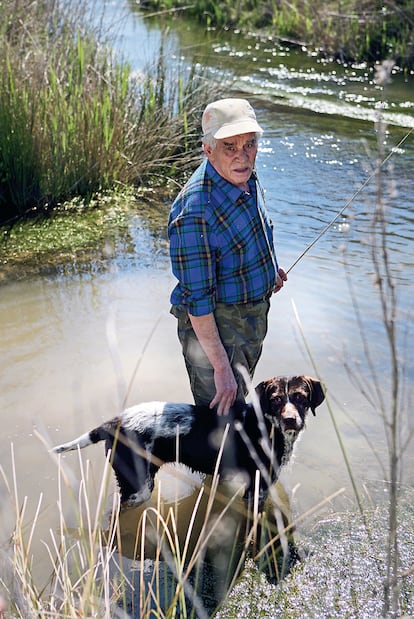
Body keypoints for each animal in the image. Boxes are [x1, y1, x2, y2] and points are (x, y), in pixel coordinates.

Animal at [52, 378, 324, 508]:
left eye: (301, 397)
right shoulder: (257, 487)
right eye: (276, 399)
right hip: (137, 488)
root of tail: (114, 422)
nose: (291, 420)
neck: (266, 425)